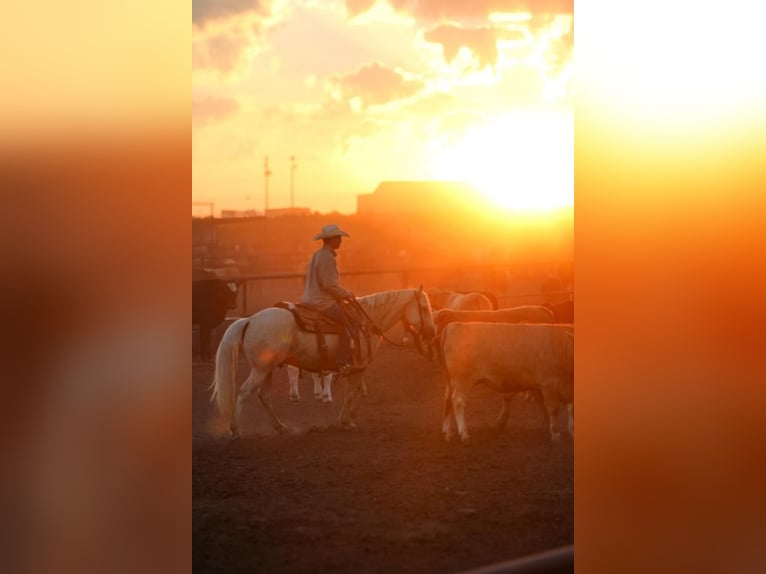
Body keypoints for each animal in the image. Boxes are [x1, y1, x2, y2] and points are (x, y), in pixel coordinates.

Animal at [213, 288, 436, 436]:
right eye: (424, 307)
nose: (432, 333)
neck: (366, 323)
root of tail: (250, 320)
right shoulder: (357, 367)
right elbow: (351, 393)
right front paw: (347, 421)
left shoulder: (359, 368)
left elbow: (360, 391)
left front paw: (352, 415)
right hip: (260, 369)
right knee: (244, 391)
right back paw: (235, 429)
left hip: (267, 369)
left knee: (264, 396)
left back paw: (280, 426)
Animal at [440, 324, 572, 446]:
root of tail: (453, 325)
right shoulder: (549, 385)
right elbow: (553, 410)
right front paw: (556, 434)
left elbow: (570, 409)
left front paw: (571, 432)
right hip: (463, 379)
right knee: (458, 401)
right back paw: (464, 434)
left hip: (452, 380)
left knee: (448, 399)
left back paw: (448, 433)